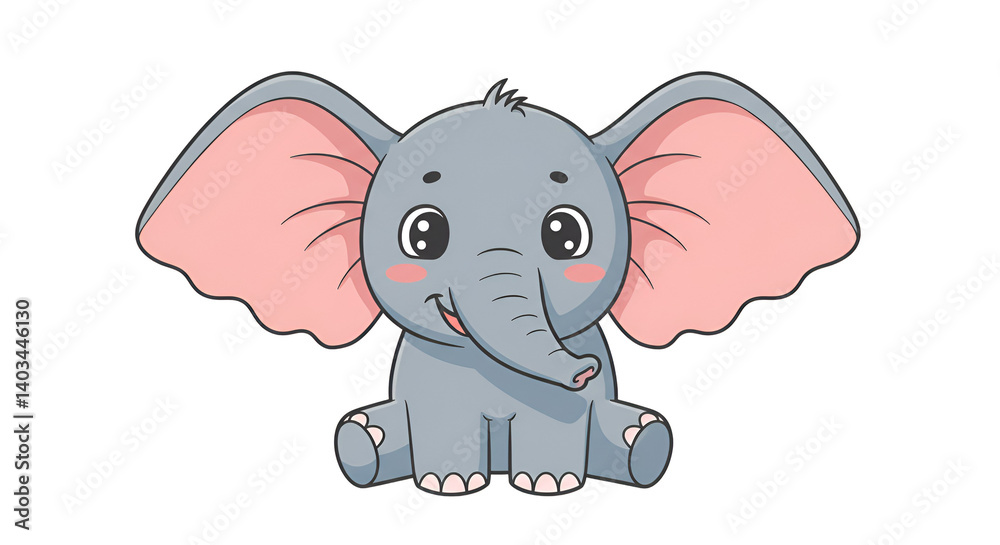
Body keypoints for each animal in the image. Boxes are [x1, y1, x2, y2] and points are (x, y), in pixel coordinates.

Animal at [136, 71, 859, 495]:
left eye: (566, 235)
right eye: (423, 235)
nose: (582, 369)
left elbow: (562, 427)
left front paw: (548, 485)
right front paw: (449, 486)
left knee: (640, 439)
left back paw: (642, 443)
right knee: (360, 440)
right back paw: (365, 441)